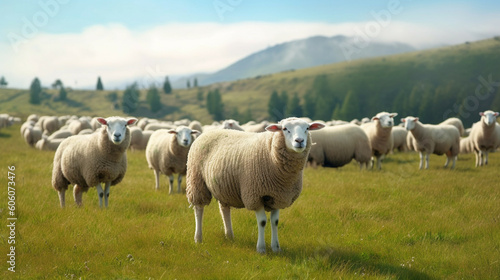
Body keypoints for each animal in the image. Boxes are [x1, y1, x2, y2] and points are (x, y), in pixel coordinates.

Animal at [187, 117, 324, 253]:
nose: (299, 141)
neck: (271, 153)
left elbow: (275, 222)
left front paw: (276, 247)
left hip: (223, 187)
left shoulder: (278, 195)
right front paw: (261, 248)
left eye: (307, 128)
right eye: (285, 129)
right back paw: (198, 238)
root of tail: (209, 132)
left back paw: (229, 236)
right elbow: (262, 222)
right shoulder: (255, 195)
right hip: (196, 180)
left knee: (224, 210)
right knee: (199, 209)